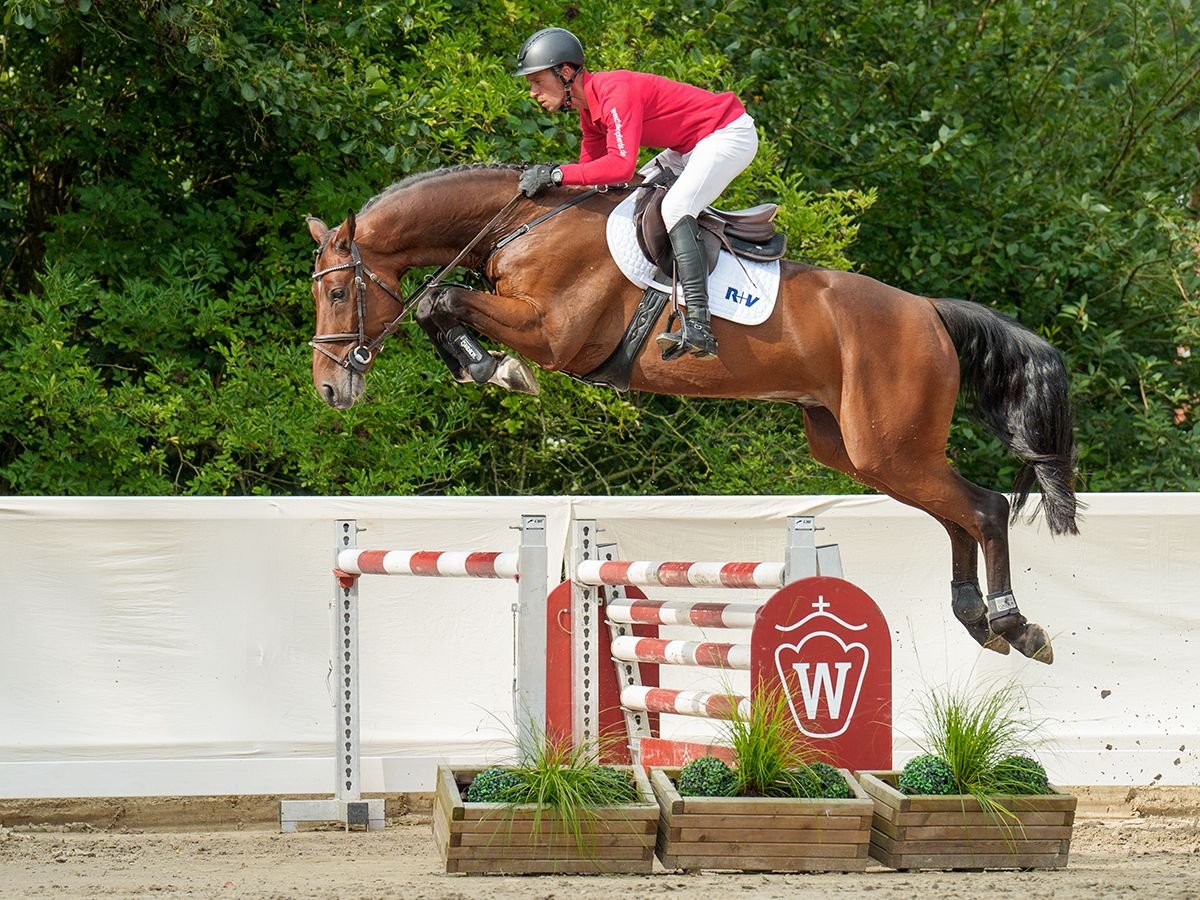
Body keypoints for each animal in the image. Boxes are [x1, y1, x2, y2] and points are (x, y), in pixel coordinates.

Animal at [309, 165, 1080, 667]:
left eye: (340, 292)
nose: (328, 388)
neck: (520, 225)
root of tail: (928, 311)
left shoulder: (555, 334)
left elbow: (441, 300)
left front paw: (498, 369)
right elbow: (439, 306)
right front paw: (486, 367)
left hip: (890, 448)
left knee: (982, 508)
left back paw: (1016, 627)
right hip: (862, 450)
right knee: (957, 514)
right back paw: (977, 619)